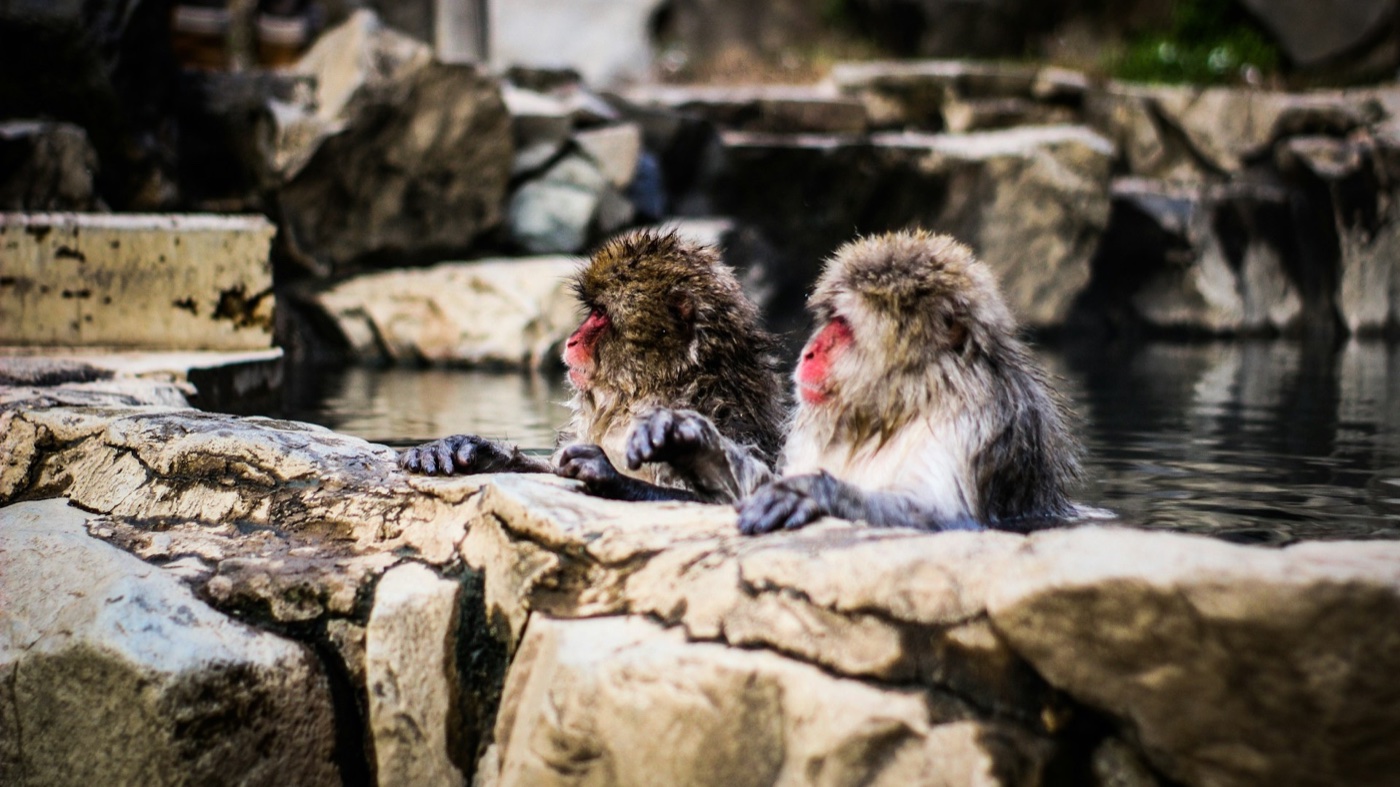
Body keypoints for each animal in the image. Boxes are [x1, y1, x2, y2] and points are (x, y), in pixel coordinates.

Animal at [398, 229, 786, 504]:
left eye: (600, 314)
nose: (571, 340)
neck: (644, 393)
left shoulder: (729, 422)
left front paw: (609, 476)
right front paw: (470, 448)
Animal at [725, 229, 1083, 535]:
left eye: (843, 325)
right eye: (832, 319)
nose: (809, 352)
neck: (900, 407)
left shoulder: (976, 420)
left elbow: (950, 519)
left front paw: (813, 491)